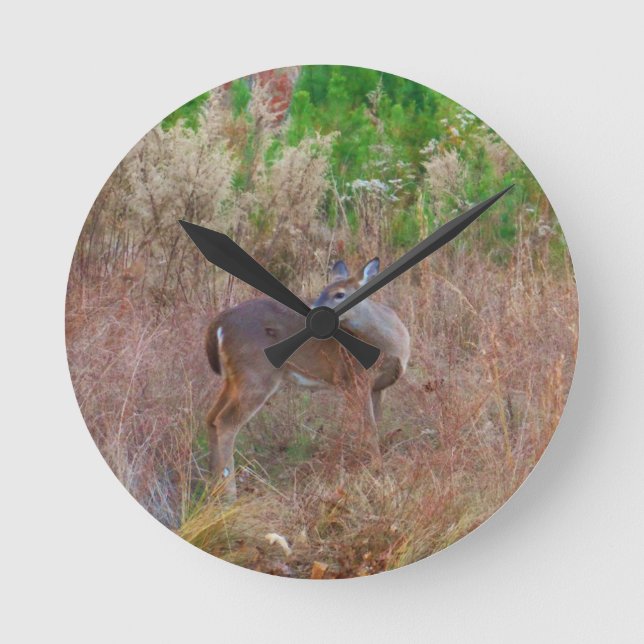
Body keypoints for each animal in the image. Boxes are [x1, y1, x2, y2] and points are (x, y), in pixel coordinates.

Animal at [204, 258, 410, 498]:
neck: (391, 344)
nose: (312, 311)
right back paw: (229, 494)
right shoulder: (354, 378)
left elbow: (373, 424)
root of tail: (219, 324)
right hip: (256, 374)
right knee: (225, 422)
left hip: (234, 378)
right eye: (322, 291)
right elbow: (369, 429)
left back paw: (212, 487)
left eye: (339, 294)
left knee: (211, 417)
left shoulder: (376, 387)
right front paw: (377, 471)